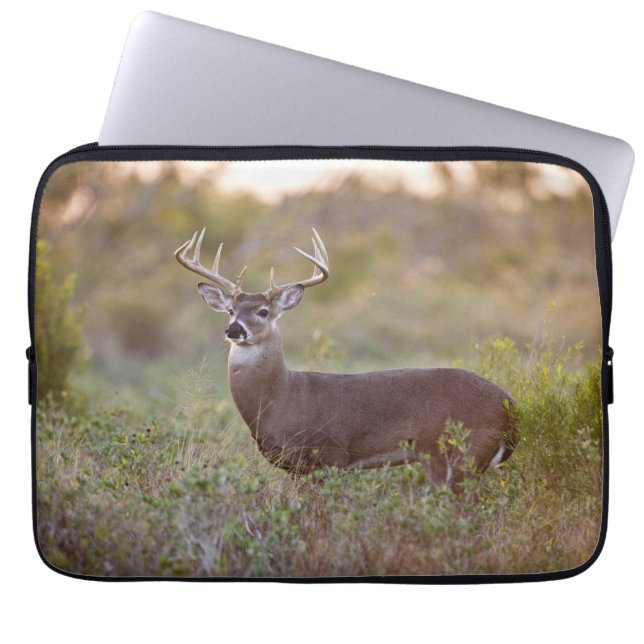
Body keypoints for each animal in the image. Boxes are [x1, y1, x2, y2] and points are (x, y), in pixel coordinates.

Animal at [175, 228, 518, 486]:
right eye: (231, 310)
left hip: (457, 454)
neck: (281, 398)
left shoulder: (330, 455)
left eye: (263, 311)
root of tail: (511, 405)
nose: (234, 329)